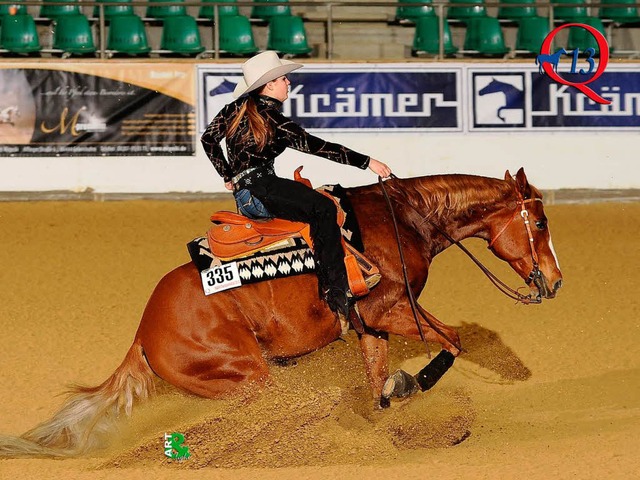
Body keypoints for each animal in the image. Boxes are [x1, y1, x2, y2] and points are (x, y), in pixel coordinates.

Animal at [0, 169, 560, 458]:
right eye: (539, 221)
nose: (554, 282)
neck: (403, 219)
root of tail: (143, 333)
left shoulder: (370, 325)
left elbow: (378, 382)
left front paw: (393, 417)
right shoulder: (394, 309)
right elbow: (450, 342)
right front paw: (410, 386)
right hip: (247, 375)